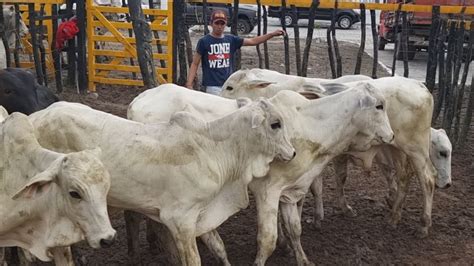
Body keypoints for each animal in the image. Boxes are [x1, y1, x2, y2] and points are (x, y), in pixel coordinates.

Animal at [29, 101, 294, 264]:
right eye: (275, 124)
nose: (292, 153)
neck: (214, 149)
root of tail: (36, 116)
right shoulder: (181, 220)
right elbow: (193, 259)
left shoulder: (200, 215)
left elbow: (219, 247)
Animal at [125, 83, 392, 266]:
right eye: (379, 106)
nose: (390, 136)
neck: (310, 124)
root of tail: (138, 101)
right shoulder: (268, 191)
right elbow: (268, 238)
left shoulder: (289, 192)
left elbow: (295, 229)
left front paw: (303, 259)